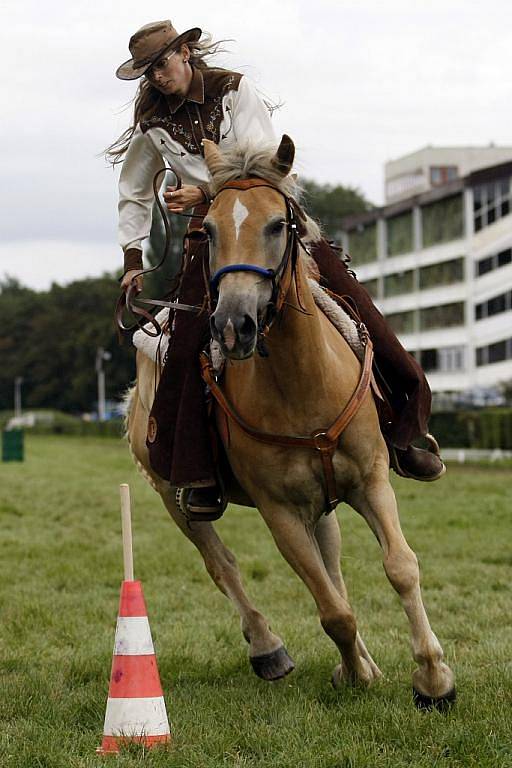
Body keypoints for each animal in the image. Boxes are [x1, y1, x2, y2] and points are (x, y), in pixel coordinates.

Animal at [125, 134, 456, 708]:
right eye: (208, 230)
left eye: (278, 224)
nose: (233, 325)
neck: (302, 383)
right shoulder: (278, 512)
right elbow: (332, 610)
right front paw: (361, 674)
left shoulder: (370, 480)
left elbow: (399, 567)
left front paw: (433, 678)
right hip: (174, 496)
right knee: (223, 564)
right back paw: (269, 648)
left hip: (321, 503)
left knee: (333, 566)